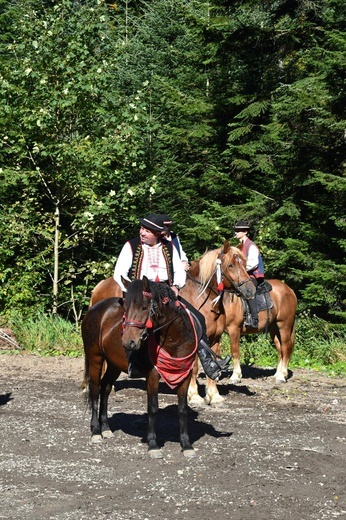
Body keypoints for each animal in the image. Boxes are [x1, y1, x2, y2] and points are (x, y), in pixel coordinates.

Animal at [82, 276, 199, 460]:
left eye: (144, 307)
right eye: (125, 308)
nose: (127, 342)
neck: (175, 342)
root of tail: (93, 309)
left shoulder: (185, 376)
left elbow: (182, 409)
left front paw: (186, 445)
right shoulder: (152, 376)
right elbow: (153, 408)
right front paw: (153, 445)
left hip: (114, 364)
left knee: (105, 388)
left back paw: (106, 428)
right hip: (95, 358)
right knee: (94, 390)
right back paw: (96, 432)